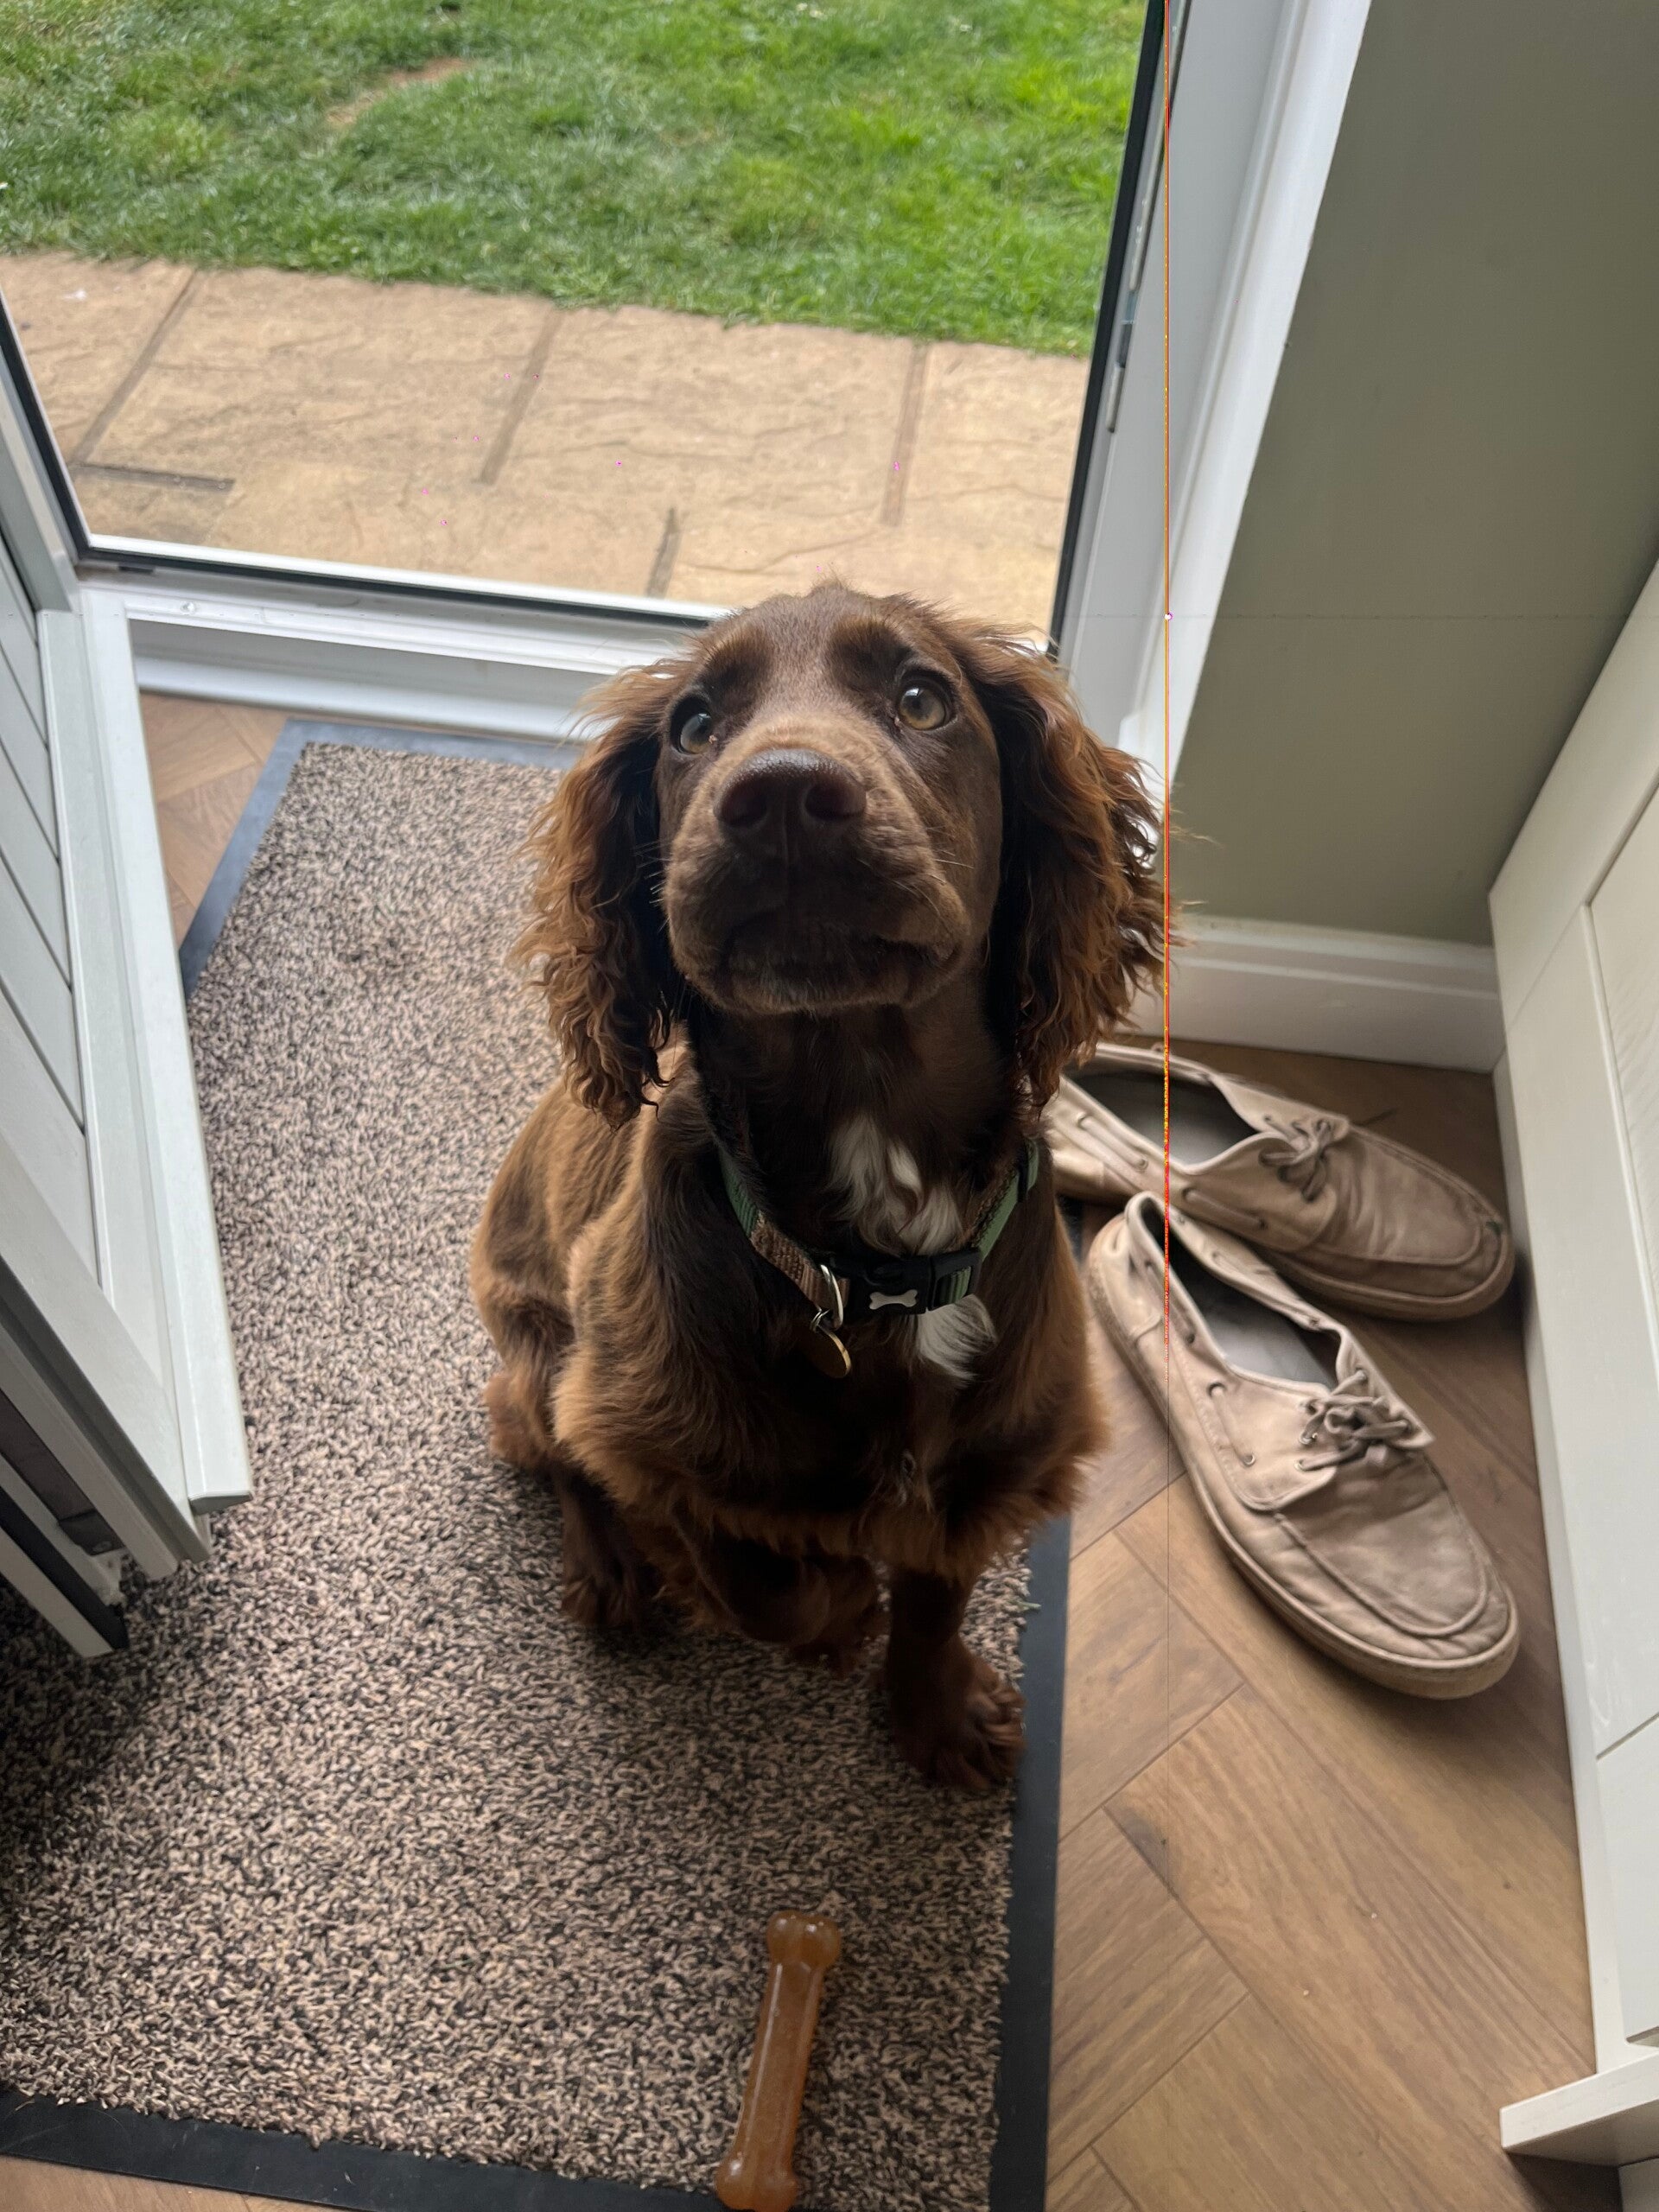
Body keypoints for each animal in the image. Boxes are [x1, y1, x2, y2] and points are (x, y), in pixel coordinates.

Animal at [471, 584, 1162, 1789]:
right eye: (695, 725)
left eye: (923, 697)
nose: (784, 795)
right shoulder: (634, 1415)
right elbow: (756, 1576)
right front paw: (841, 1608)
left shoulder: (996, 1459)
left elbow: (937, 1593)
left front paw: (938, 1713)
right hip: (536, 1344)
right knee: (556, 1456)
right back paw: (614, 1572)